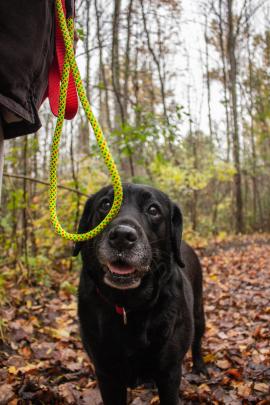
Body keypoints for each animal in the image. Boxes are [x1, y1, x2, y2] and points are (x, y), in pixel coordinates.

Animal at [74, 183, 207, 404]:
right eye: (105, 204)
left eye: (153, 210)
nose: (122, 237)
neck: (129, 305)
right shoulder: (106, 375)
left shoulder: (170, 374)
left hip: (199, 313)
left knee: (197, 341)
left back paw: (200, 367)